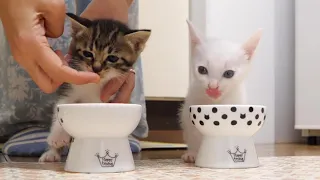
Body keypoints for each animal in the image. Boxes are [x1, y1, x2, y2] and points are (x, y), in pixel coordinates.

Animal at [38, 12, 151, 162]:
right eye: (88, 54)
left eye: (112, 58)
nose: (96, 68)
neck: (95, 84)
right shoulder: (69, 87)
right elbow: (62, 107)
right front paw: (58, 136)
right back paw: (51, 154)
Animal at [179, 20, 262, 162]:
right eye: (202, 70)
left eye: (229, 73)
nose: (213, 87)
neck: (216, 102)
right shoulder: (188, 110)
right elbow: (193, 133)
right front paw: (193, 153)